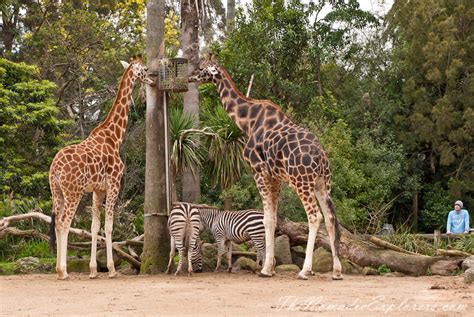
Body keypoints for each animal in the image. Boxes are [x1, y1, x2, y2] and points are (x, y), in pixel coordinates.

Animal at [48, 55, 153, 278]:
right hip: (74, 192)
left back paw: (58, 269)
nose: (152, 79)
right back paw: (63, 271)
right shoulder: (114, 184)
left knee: (57, 222)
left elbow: (95, 226)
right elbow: (109, 226)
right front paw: (112, 269)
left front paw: (94, 270)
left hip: (57, 191)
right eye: (145, 69)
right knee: (64, 223)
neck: (115, 137)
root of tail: (55, 169)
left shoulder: (97, 190)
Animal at [191, 54, 342, 278]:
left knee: (315, 217)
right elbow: (273, 219)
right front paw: (269, 267)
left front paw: (265, 269)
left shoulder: (258, 171)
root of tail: (321, 158)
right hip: (322, 184)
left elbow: (267, 220)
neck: (247, 122)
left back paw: (305, 270)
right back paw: (337, 271)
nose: (189, 76)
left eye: (201, 67)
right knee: (331, 218)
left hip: (302, 182)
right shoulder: (275, 177)